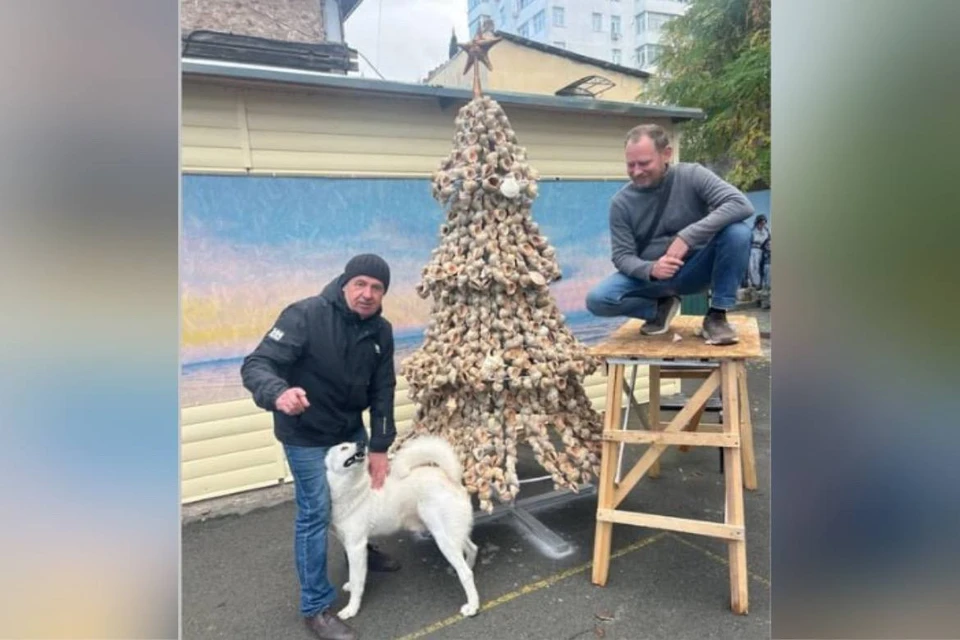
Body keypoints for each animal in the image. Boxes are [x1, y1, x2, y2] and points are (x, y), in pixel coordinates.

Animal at [326, 438, 480, 616]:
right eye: (343, 447)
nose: (361, 443)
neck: (353, 487)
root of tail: (451, 479)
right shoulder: (349, 545)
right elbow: (353, 576)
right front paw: (350, 588)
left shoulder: (356, 547)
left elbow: (357, 579)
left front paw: (351, 609)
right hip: (452, 534)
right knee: (472, 550)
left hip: (443, 539)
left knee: (466, 573)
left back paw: (472, 606)